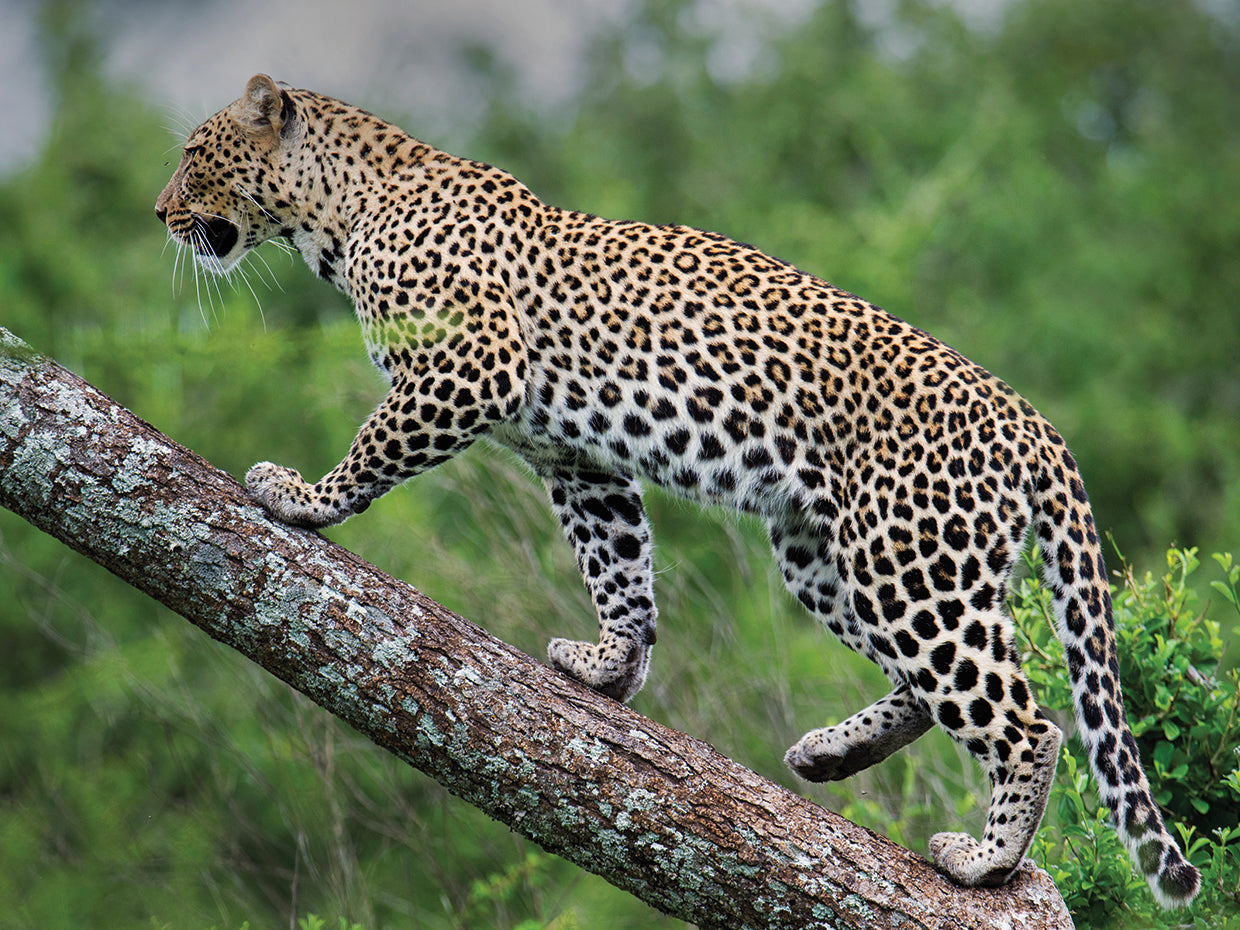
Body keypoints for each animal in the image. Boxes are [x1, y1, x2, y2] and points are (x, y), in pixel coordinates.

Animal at [156, 74, 1200, 907]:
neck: (340, 214)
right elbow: (620, 566)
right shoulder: (578, 461)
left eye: (193, 156)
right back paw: (834, 753)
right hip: (828, 554)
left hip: (908, 563)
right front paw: (609, 668)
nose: (159, 214)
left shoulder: (470, 366)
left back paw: (988, 862)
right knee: (933, 682)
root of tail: (1035, 423)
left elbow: (373, 447)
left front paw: (303, 496)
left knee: (1027, 722)